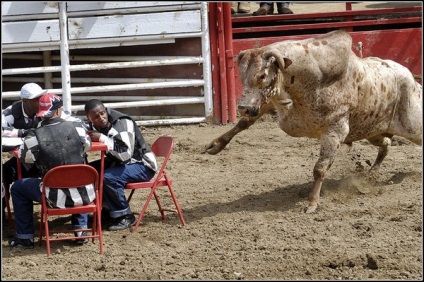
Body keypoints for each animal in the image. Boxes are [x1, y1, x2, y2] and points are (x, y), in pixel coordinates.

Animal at [204, 29, 422, 213]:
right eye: (241, 75)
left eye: (263, 75)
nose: (243, 107)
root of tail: (413, 81)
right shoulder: (272, 104)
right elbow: (244, 123)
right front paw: (216, 144)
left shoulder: (335, 131)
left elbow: (320, 168)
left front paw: (312, 203)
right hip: (372, 131)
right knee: (386, 144)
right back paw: (371, 173)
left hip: (412, 126)